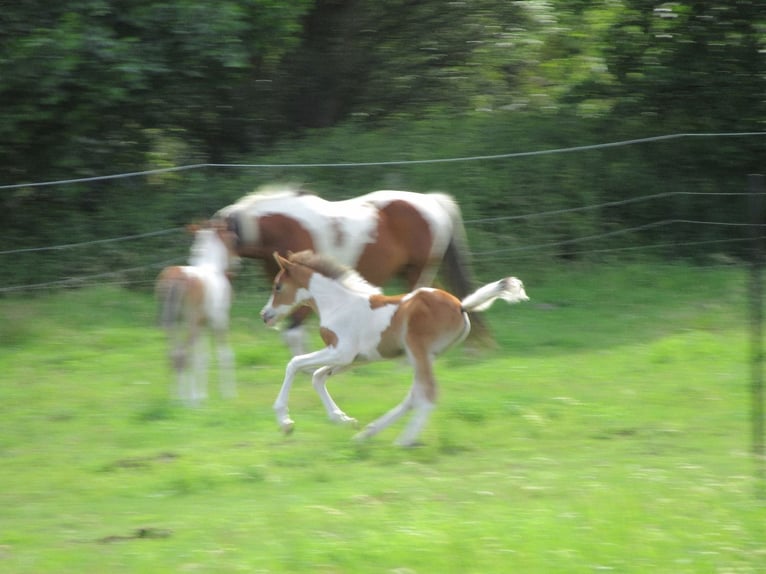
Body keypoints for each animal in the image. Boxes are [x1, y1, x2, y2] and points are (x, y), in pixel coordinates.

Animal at [156, 223, 240, 408]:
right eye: (232, 239)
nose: (238, 262)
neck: (212, 266)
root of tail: (176, 277)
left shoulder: (203, 324)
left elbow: (203, 357)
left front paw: (202, 395)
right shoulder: (219, 320)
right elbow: (224, 354)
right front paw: (228, 394)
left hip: (172, 323)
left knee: (174, 354)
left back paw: (175, 398)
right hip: (190, 322)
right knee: (184, 355)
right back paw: (189, 401)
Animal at [260, 251, 532, 446]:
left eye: (278, 286)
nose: (265, 315)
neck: (338, 304)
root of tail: (461, 305)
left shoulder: (341, 351)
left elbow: (294, 364)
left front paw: (285, 422)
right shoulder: (355, 359)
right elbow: (317, 376)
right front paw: (344, 420)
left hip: (417, 349)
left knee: (426, 394)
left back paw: (403, 440)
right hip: (425, 356)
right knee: (415, 395)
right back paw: (367, 433)